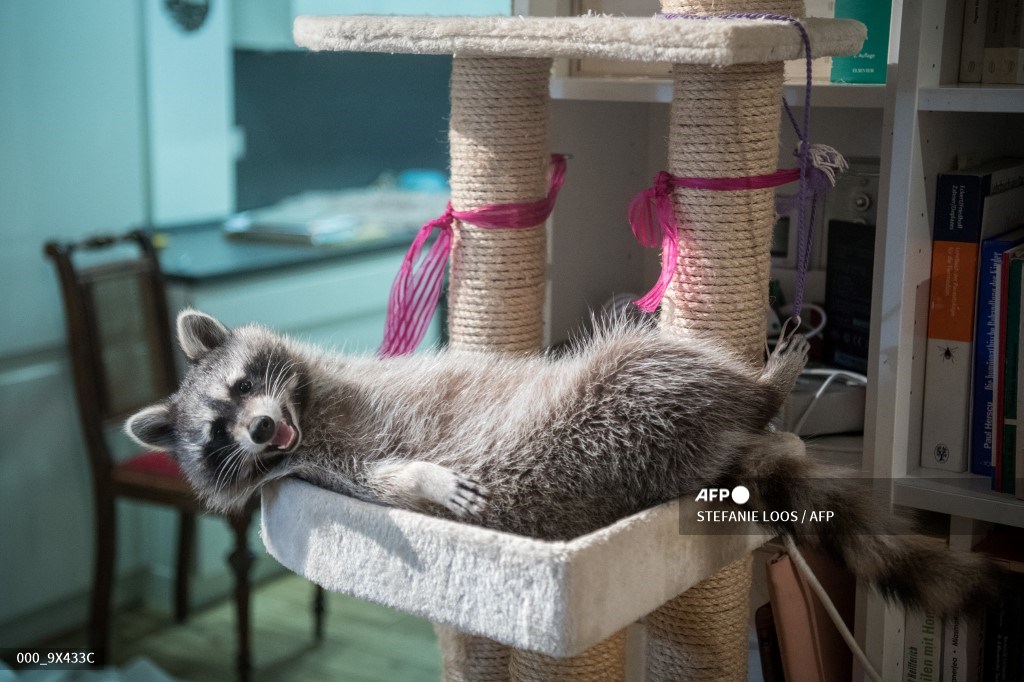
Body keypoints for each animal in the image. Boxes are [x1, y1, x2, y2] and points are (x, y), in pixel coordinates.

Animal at [127, 310, 998, 617]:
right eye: (217, 431)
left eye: (242, 385)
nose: (261, 429)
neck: (307, 414)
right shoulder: (325, 472)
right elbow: (394, 479)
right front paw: (425, 477)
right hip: (625, 402)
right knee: (660, 357)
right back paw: (767, 386)